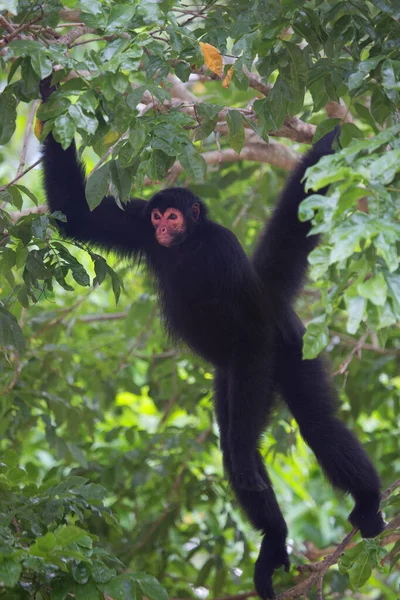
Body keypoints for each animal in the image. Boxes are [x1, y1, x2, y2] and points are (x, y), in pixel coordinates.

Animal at [39, 81, 384, 600]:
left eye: (174, 216)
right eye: (157, 216)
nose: (164, 227)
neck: (189, 246)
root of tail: (275, 301)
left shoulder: (222, 253)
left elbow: (251, 336)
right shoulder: (137, 224)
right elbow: (75, 215)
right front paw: (49, 88)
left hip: (284, 351)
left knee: (310, 425)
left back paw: (368, 499)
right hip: (234, 377)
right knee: (236, 439)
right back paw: (275, 541)